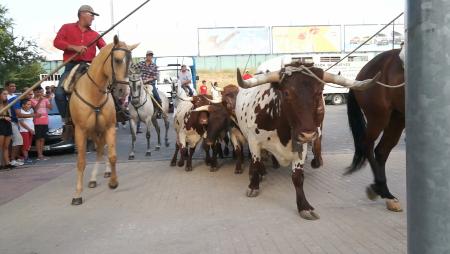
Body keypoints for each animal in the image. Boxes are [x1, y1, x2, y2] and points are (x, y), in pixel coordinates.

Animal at [69, 35, 137, 205]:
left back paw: (100, 175)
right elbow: (81, 161)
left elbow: (112, 156)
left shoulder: (110, 127)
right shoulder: (81, 131)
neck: (94, 93)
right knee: (99, 149)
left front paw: (113, 182)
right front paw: (77, 194)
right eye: (117, 60)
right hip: (92, 132)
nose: (123, 91)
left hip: (99, 130)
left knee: (101, 149)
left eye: (131, 63)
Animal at [236, 62, 380, 219]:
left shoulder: (301, 147)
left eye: (319, 92)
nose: (308, 134)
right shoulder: (254, 142)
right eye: (286, 93)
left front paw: (304, 206)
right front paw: (253, 186)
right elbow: (256, 163)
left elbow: (298, 177)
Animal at [346, 48, 406, 212]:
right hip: (379, 117)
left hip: (397, 118)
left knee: (381, 150)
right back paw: (381, 188)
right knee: (368, 145)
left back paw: (384, 192)